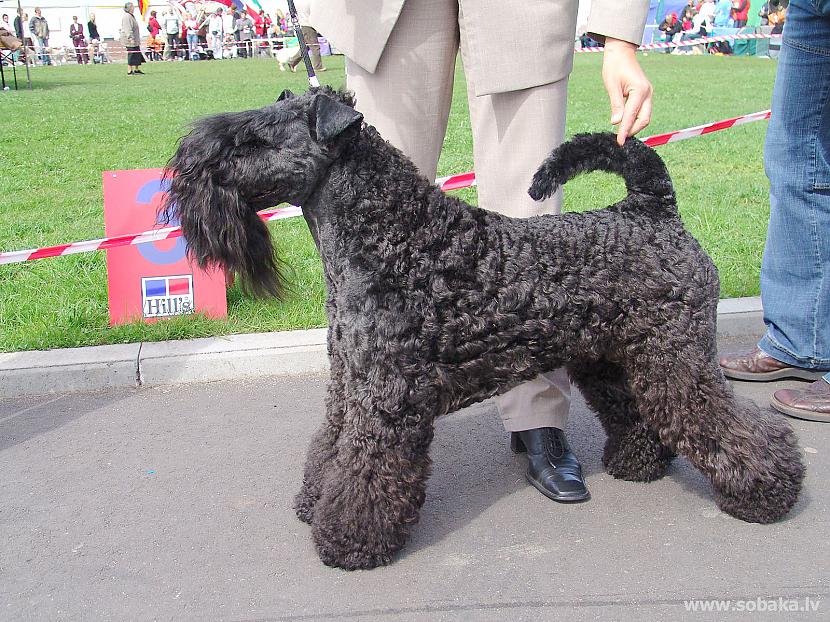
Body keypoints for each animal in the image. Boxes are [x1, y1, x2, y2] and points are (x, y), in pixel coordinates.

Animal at [164, 86, 808, 572]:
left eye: (256, 137)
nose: (183, 166)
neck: (394, 238)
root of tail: (651, 210)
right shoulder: (350, 380)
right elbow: (332, 445)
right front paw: (313, 501)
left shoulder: (387, 394)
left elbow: (367, 467)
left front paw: (349, 538)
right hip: (614, 357)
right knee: (636, 411)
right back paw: (639, 463)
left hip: (675, 357)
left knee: (727, 423)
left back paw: (768, 489)